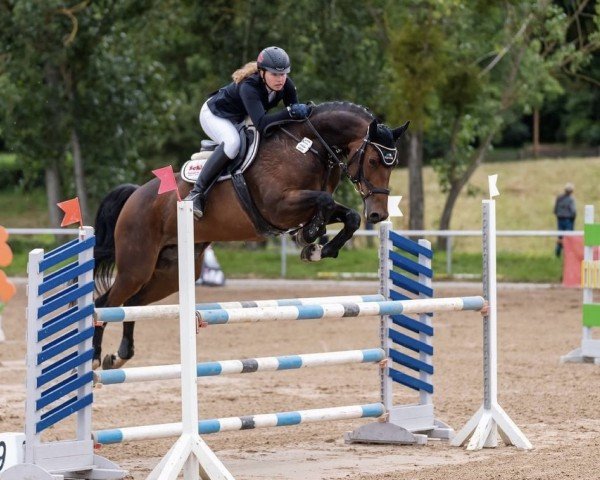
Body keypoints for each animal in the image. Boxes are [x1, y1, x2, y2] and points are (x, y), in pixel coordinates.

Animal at [94, 101, 410, 370]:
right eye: (373, 161)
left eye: (393, 164)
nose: (378, 215)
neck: (308, 147)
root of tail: (136, 194)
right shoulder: (279, 206)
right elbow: (325, 201)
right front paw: (310, 235)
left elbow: (348, 216)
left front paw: (316, 248)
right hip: (137, 267)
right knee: (105, 304)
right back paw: (96, 358)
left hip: (170, 273)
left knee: (132, 304)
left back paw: (119, 356)